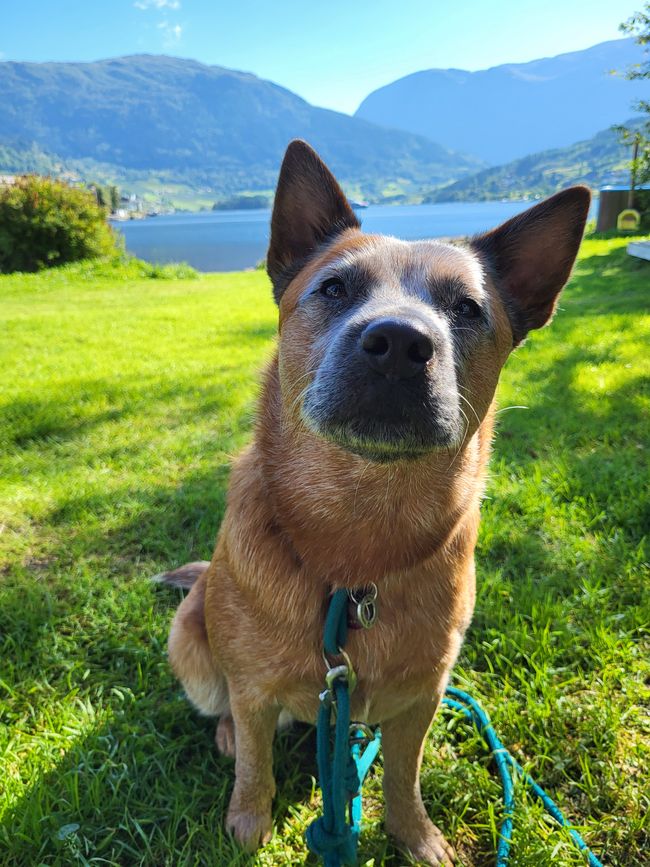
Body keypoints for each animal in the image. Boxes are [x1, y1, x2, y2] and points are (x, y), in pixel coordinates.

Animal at [159, 139, 588, 864]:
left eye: (466, 308)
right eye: (335, 288)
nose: (399, 343)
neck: (357, 537)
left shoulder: (424, 696)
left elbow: (402, 775)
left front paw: (413, 833)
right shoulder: (251, 685)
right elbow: (256, 765)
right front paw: (248, 822)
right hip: (189, 636)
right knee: (230, 716)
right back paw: (228, 735)